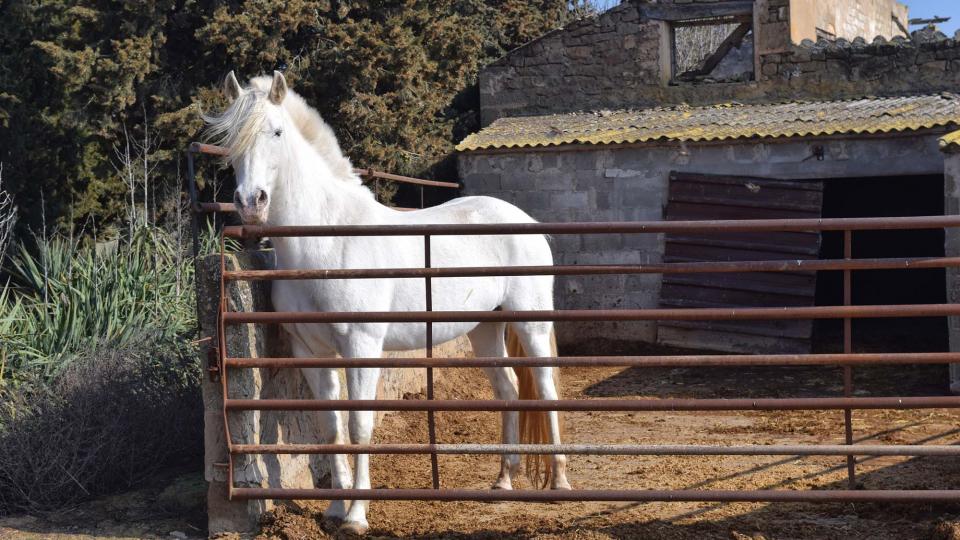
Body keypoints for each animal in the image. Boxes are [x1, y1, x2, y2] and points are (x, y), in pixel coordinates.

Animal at [206, 71, 568, 536]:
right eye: (232, 140)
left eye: (277, 132)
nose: (251, 203)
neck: (328, 240)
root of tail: (525, 221)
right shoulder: (312, 351)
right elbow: (331, 427)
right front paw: (334, 509)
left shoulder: (361, 346)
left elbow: (360, 425)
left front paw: (356, 516)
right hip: (485, 328)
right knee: (507, 390)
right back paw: (504, 479)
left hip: (530, 322)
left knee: (545, 388)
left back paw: (559, 482)